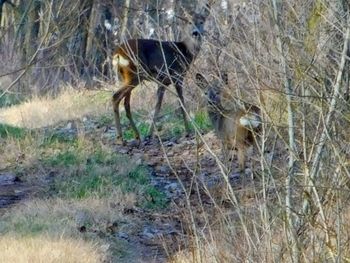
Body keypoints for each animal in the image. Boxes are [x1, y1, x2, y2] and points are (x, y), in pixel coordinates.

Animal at [110, 5, 209, 146]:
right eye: (189, 22)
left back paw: (137, 136)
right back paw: (120, 139)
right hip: (135, 74)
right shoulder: (177, 75)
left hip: (127, 76)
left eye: (201, 21)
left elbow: (157, 106)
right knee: (116, 97)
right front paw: (188, 131)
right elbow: (181, 103)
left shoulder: (162, 81)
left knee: (126, 103)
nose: (195, 32)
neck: (185, 52)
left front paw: (149, 135)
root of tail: (117, 54)